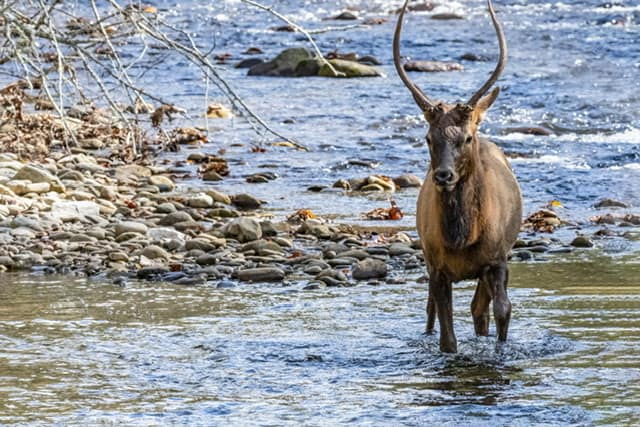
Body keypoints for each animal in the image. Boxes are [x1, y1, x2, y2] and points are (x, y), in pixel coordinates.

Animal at [392, 0, 524, 354]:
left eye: (466, 137)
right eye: (428, 138)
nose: (443, 175)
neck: (463, 236)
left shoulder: (497, 260)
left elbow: (503, 310)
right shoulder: (437, 266)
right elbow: (446, 336)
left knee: (479, 309)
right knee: (431, 311)